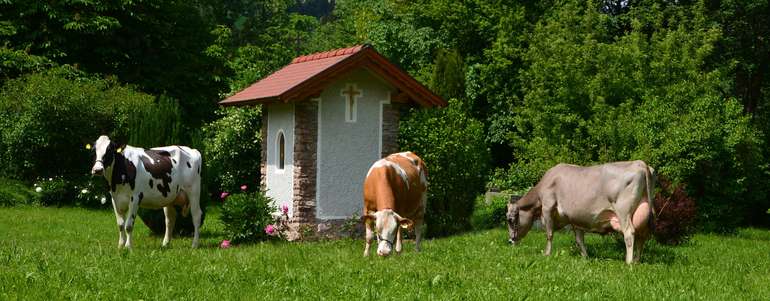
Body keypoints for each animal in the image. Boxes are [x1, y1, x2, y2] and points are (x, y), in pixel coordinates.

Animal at [504, 159, 656, 262]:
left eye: (510, 220)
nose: (510, 241)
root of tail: (640, 163)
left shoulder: (547, 207)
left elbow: (549, 234)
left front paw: (547, 254)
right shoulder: (574, 218)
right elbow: (579, 239)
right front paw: (585, 257)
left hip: (623, 211)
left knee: (629, 233)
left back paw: (628, 262)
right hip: (643, 212)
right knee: (642, 235)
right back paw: (636, 261)